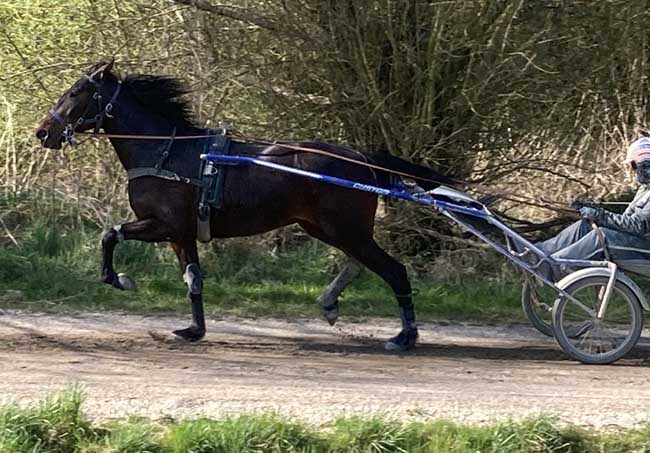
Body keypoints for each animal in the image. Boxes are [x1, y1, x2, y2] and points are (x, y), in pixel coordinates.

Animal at [35, 60, 456, 351]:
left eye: (76, 92)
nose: (43, 132)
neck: (166, 153)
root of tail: (361, 159)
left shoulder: (163, 224)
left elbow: (109, 234)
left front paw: (119, 278)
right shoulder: (182, 233)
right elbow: (193, 278)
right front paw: (193, 330)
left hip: (343, 227)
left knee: (394, 270)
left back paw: (404, 336)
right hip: (325, 227)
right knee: (362, 262)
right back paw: (331, 304)